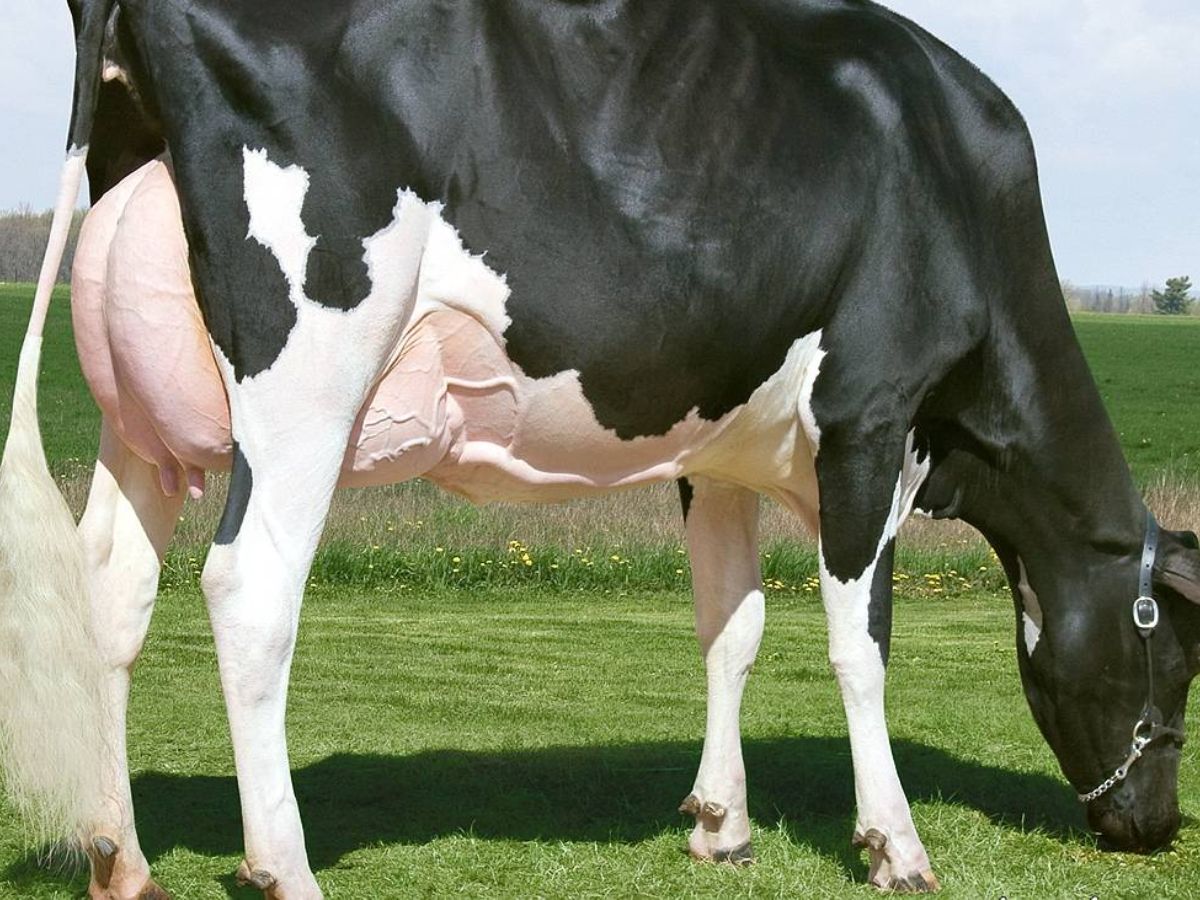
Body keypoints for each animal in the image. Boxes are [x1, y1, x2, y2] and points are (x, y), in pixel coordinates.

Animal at [1, 1, 1198, 897]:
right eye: (1178, 662)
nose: (1154, 828)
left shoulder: (719, 450)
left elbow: (732, 626)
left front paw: (720, 823)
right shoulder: (871, 420)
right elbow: (861, 646)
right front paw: (894, 844)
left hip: (142, 412)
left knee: (113, 587)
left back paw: (121, 857)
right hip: (309, 376)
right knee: (249, 589)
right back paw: (284, 866)